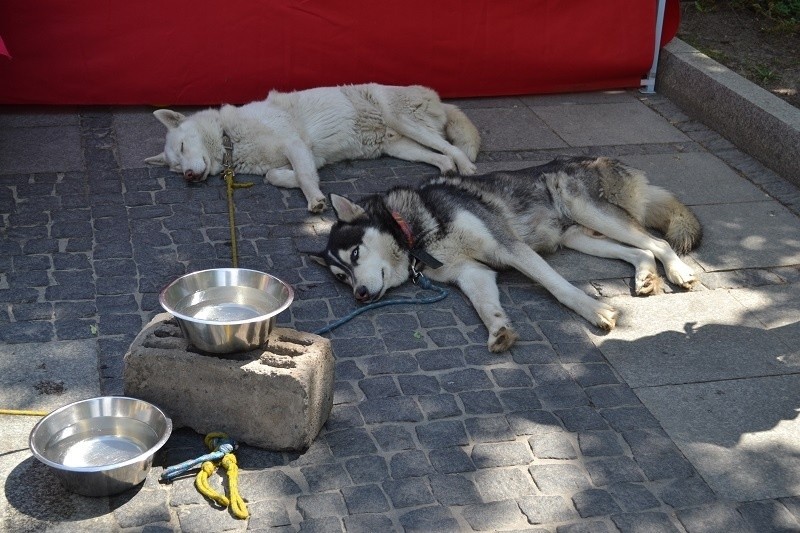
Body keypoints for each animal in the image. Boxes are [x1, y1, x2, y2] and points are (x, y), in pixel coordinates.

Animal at [145, 83, 482, 212]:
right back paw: (446, 170)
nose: (188, 176)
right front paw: (298, 183)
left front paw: (315, 199)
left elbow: (305, 177)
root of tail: (436, 97)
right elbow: (277, 176)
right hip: (400, 147)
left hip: (403, 121)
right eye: (175, 167)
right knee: (439, 156)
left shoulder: (294, 144)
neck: (231, 139)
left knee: (453, 149)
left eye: (183, 146)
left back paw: (466, 168)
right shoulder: (295, 156)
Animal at [312, 156, 700, 352]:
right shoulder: (470, 273)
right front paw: (499, 329)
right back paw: (646, 276)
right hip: (579, 237)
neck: (415, 233)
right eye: (341, 278)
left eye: (356, 254)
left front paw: (593, 310)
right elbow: (486, 306)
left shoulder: (508, 246)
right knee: (640, 251)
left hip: (591, 213)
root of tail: (603, 160)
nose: (360, 295)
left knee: (659, 244)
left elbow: (558, 287)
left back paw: (679, 272)